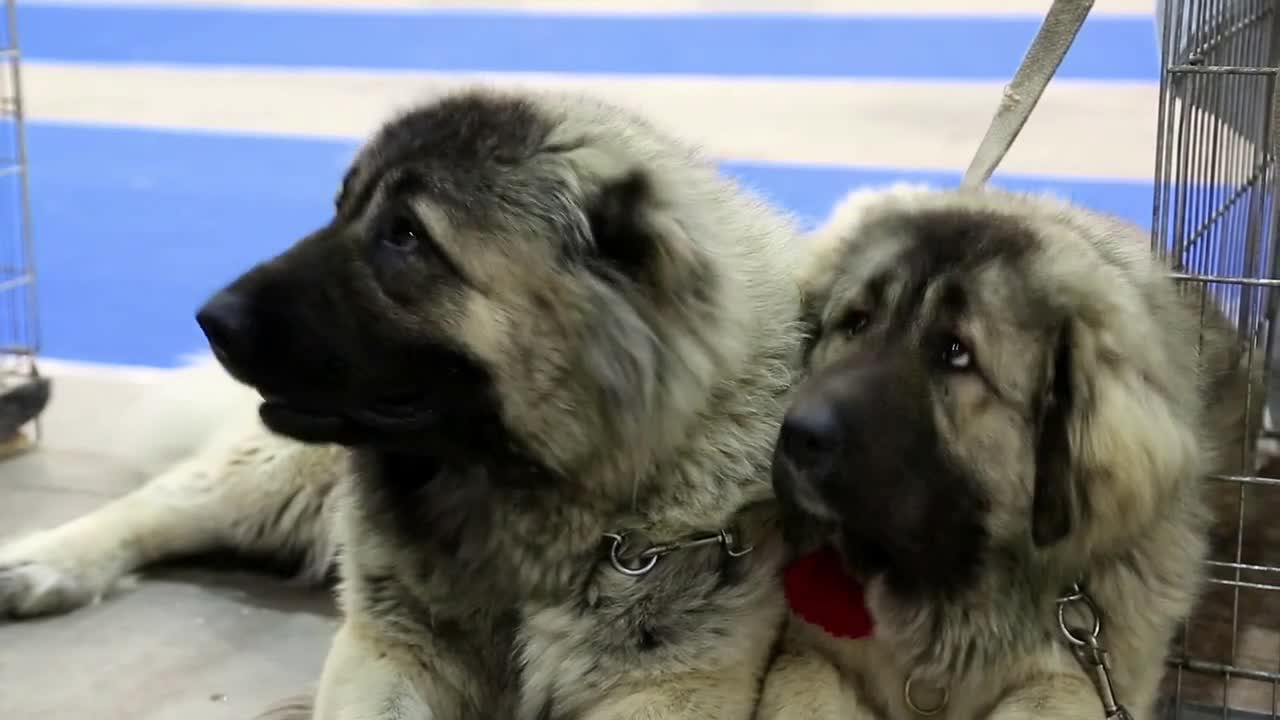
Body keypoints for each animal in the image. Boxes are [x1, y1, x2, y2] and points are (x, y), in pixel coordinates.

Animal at [0, 87, 803, 712]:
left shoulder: (668, 685)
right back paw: (42, 562)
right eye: (341, 210)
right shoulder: (386, 648)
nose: (211, 318)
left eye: (406, 235)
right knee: (165, 502)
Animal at [752, 184, 1264, 717]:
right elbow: (800, 683)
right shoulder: (808, 653)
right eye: (855, 322)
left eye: (956, 353)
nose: (799, 433)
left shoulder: (1076, 667)